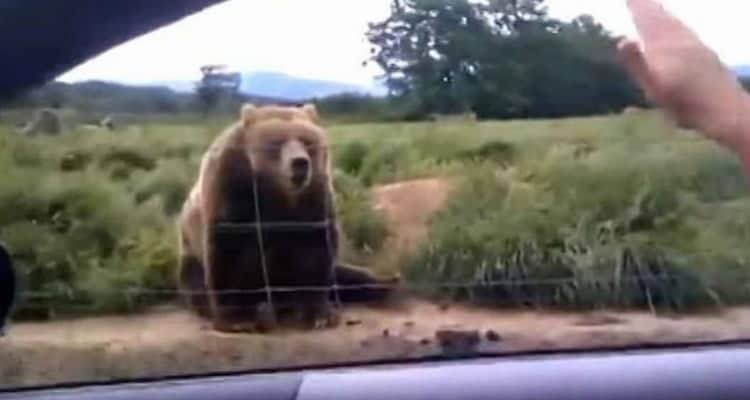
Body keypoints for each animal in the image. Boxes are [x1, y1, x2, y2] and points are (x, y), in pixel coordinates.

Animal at [177, 104, 400, 334]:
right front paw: (239, 318)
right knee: (197, 284)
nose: (299, 163)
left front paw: (319, 314)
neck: (279, 193)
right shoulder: (232, 189)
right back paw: (263, 310)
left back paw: (388, 282)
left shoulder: (313, 198)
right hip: (190, 254)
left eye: (307, 141)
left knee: (347, 274)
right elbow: (229, 252)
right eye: (276, 142)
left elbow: (315, 250)